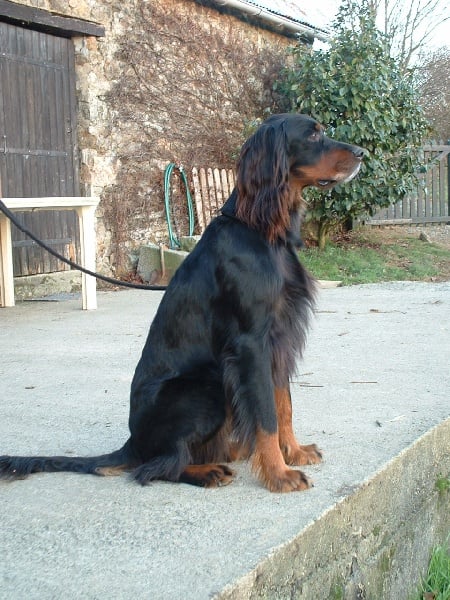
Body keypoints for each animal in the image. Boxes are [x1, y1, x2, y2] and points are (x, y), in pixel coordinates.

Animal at [0, 114, 364, 492]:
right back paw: (207, 471)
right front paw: (279, 474)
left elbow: (283, 404)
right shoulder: (252, 341)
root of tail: (133, 442)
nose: (362, 153)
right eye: (313, 135)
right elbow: (266, 414)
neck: (262, 229)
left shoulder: (279, 339)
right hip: (204, 389)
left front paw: (293, 452)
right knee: (155, 466)